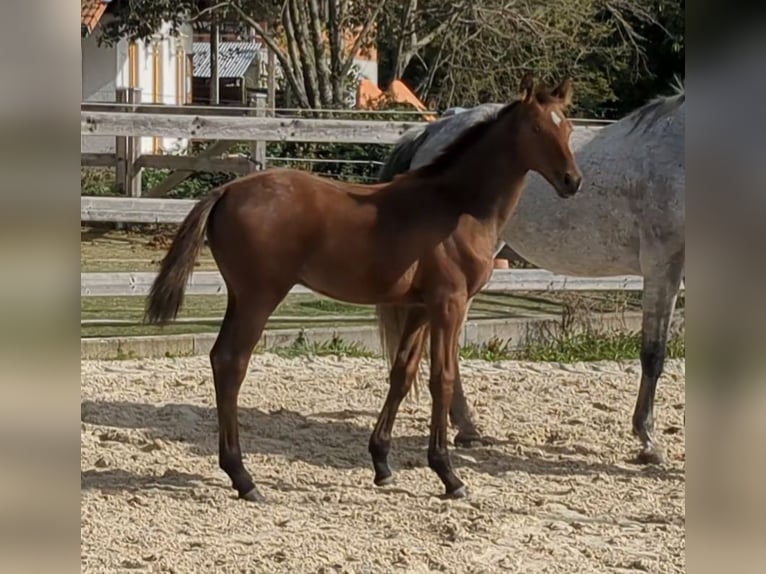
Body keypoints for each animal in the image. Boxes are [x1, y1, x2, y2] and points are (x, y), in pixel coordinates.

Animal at [144, 75, 583, 502]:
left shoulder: (420, 307)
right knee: (232, 362)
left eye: (568, 127)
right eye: (536, 128)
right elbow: (441, 379)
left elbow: (402, 373)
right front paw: (448, 475)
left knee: (220, 358)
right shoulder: (450, 304)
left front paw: (382, 463)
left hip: (240, 296)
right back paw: (243, 477)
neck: (457, 205)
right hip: (259, 297)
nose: (572, 181)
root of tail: (226, 191)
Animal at [376, 81, 685, 466]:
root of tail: (433, 129)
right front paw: (649, 443)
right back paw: (466, 427)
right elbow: (653, 354)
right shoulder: (663, 265)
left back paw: (468, 429)